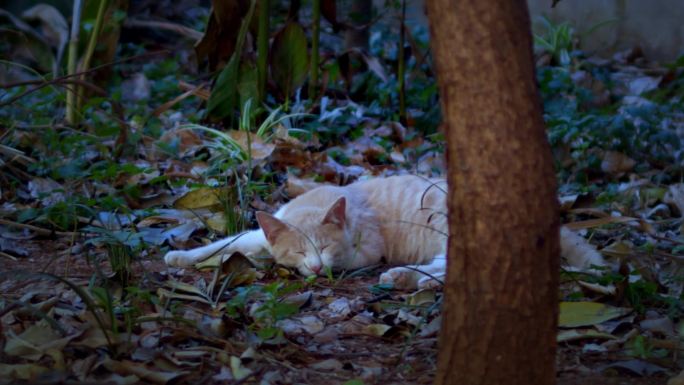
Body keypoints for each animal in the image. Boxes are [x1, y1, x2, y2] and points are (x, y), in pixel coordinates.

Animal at [165, 174, 448, 288]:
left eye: (324, 247)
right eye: (299, 251)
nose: (315, 266)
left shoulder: (369, 249)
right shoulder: (260, 235)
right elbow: (228, 242)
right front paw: (181, 256)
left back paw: (415, 279)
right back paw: (408, 278)